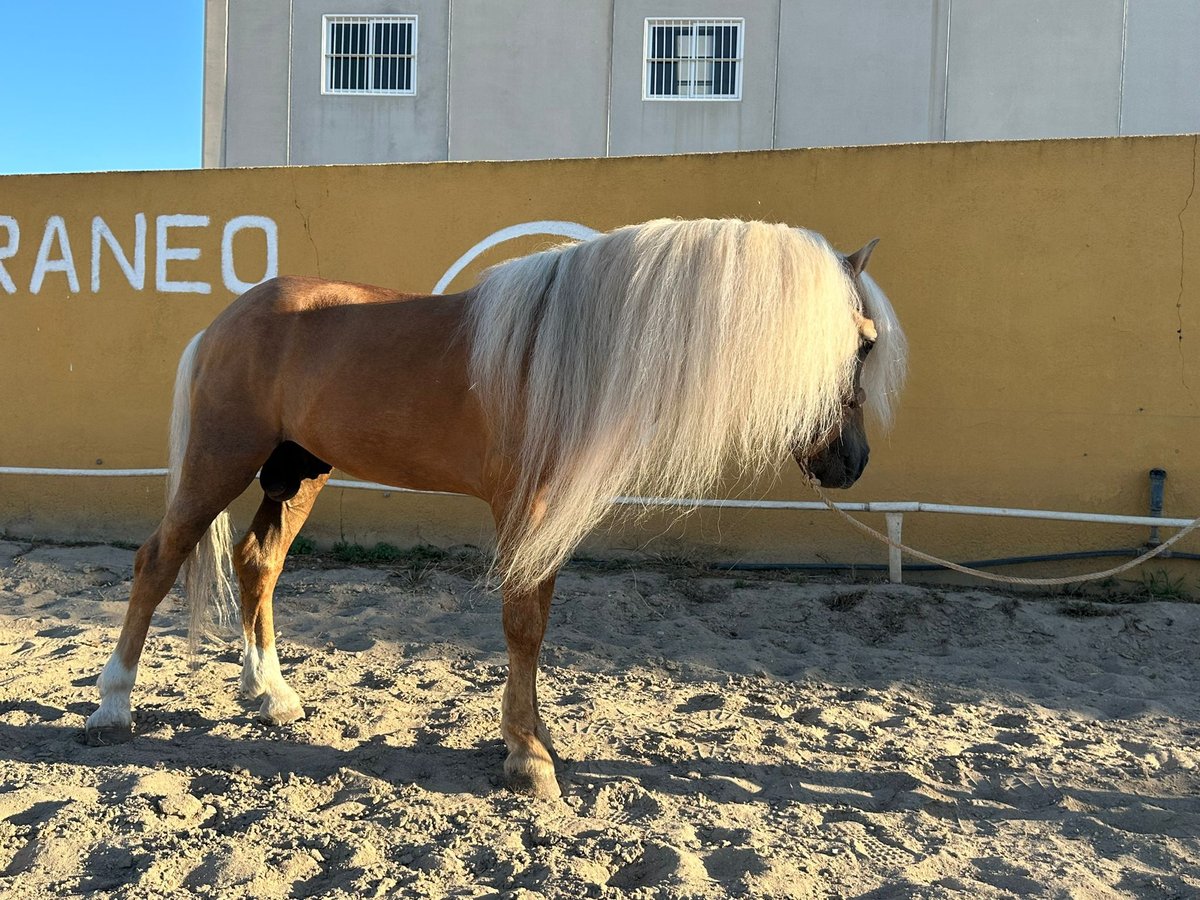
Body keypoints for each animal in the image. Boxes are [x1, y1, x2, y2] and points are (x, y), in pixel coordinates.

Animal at [84, 220, 902, 801]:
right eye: (861, 344)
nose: (852, 462)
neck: (571, 353)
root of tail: (225, 320)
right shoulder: (524, 505)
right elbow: (522, 624)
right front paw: (527, 759)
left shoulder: (548, 514)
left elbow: (536, 622)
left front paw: (535, 739)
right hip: (220, 460)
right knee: (158, 560)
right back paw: (114, 707)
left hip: (297, 472)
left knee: (258, 563)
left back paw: (270, 695)